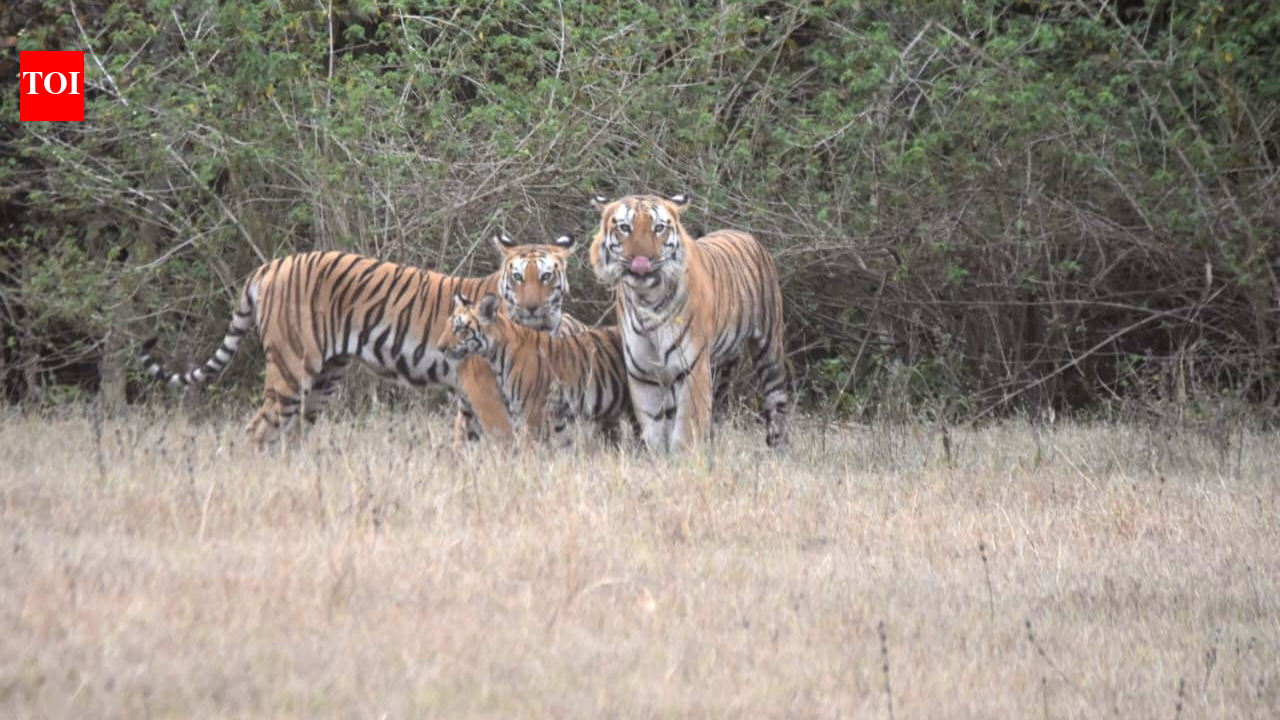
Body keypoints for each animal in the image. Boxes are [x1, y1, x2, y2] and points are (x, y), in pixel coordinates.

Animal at [139, 233, 583, 450]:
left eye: (546, 276)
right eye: (518, 277)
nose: (529, 306)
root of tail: (272, 265)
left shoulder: (469, 395)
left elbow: (467, 440)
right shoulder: (484, 388)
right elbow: (504, 436)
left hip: (324, 378)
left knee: (291, 433)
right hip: (290, 368)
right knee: (258, 430)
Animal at [442, 292, 631, 446]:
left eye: (459, 328)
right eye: (449, 325)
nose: (440, 347)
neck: (495, 357)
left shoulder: (532, 415)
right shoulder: (553, 416)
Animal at [588, 193, 787, 453]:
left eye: (658, 228)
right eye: (625, 228)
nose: (642, 261)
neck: (647, 298)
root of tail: (746, 234)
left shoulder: (692, 370)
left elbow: (686, 431)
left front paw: (684, 458)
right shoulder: (643, 374)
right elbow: (654, 429)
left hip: (769, 347)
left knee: (776, 402)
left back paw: (778, 450)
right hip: (719, 365)